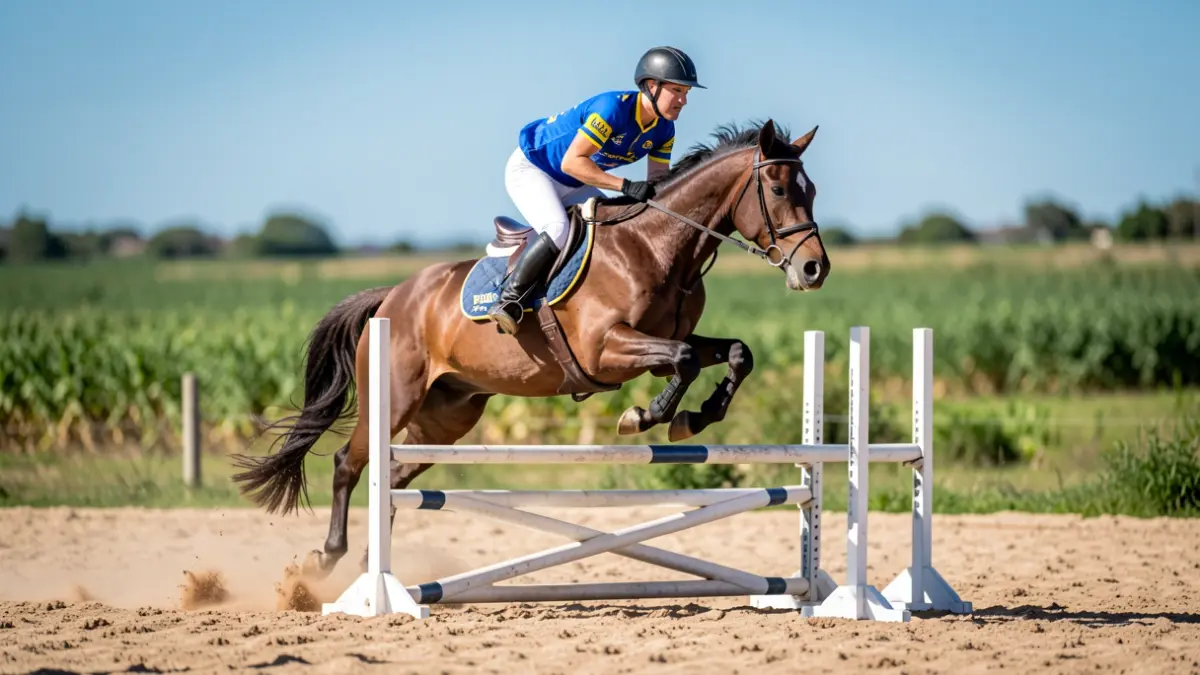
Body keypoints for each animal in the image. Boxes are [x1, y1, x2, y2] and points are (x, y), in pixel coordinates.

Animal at [230, 118, 833, 579]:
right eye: (780, 191)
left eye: (812, 191)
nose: (814, 269)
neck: (657, 246)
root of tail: (392, 297)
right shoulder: (605, 350)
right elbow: (682, 363)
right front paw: (646, 417)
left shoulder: (674, 335)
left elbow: (737, 353)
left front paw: (694, 418)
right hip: (396, 398)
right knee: (347, 463)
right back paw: (329, 560)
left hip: (448, 415)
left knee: (396, 478)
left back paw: (371, 567)